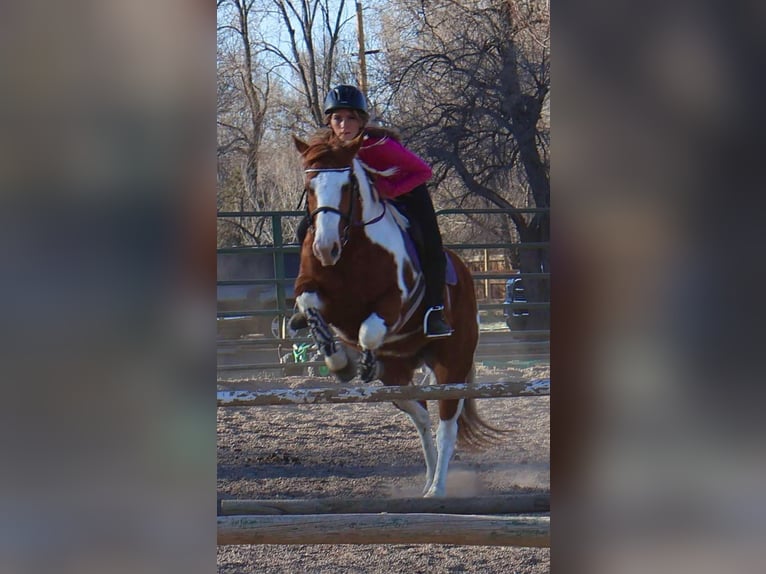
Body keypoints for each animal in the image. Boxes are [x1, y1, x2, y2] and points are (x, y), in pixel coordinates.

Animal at [291, 132, 505, 497]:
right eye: (309, 186)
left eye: (347, 184)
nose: (325, 248)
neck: (352, 247)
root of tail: (465, 272)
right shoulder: (316, 292)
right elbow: (310, 305)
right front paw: (340, 361)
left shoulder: (395, 301)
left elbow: (369, 330)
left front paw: (359, 362)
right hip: (397, 378)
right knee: (421, 416)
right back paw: (428, 480)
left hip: (452, 365)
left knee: (445, 425)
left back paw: (438, 488)